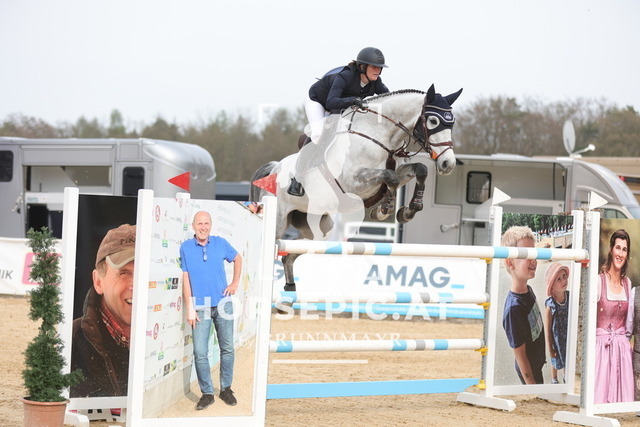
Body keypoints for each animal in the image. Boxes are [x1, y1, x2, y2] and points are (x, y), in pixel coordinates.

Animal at [250, 84, 462, 292]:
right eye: (433, 121)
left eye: (452, 124)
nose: (448, 164)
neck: (380, 136)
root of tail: (273, 168)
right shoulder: (354, 181)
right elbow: (390, 177)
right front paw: (383, 210)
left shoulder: (399, 172)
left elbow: (420, 170)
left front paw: (409, 210)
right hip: (279, 221)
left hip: (318, 227)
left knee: (290, 253)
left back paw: (290, 289)